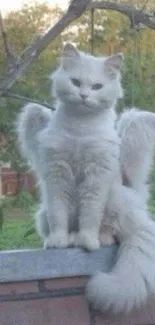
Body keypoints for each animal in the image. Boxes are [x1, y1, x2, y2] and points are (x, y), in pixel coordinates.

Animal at [17, 44, 155, 312]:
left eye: (97, 86)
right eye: (75, 82)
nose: (83, 96)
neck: (79, 131)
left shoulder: (96, 177)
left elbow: (90, 215)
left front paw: (88, 241)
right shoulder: (57, 175)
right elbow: (60, 216)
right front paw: (58, 241)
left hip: (117, 197)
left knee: (111, 232)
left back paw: (96, 239)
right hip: (43, 212)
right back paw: (68, 239)